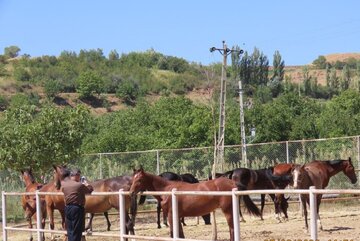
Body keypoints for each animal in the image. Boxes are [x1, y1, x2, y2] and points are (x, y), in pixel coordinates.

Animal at [129, 168, 262, 241]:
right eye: (132, 179)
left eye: (139, 180)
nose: (131, 192)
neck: (167, 189)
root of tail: (233, 182)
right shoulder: (177, 216)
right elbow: (180, 235)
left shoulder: (172, 216)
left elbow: (174, 234)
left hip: (228, 211)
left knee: (232, 229)